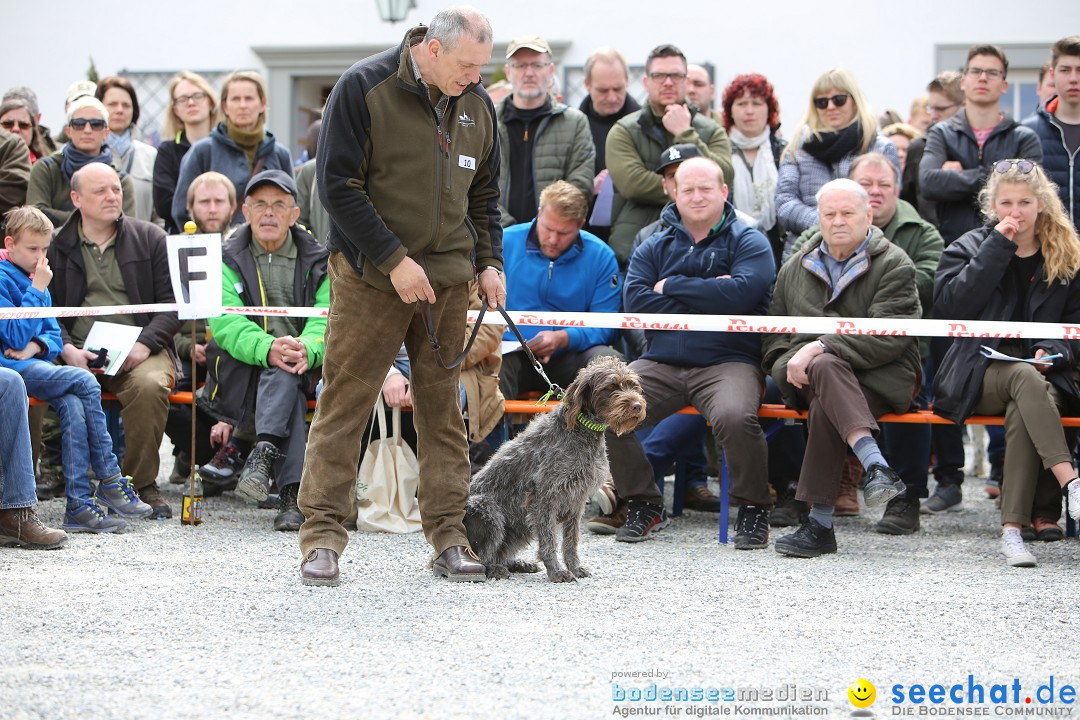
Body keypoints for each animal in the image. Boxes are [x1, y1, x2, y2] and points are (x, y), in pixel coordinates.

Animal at [462, 358, 639, 582]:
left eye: (633, 385)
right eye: (611, 386)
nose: (637, 405)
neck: (582, 431)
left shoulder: (576, 499)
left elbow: (571, 541)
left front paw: (574, 567)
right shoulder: (545, 499)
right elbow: (548, 542)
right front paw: (556, 571)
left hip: (521, 526)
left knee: (500, 553)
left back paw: (517, 564)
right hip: (487, 509)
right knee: (481, 556)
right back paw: (493, 569)